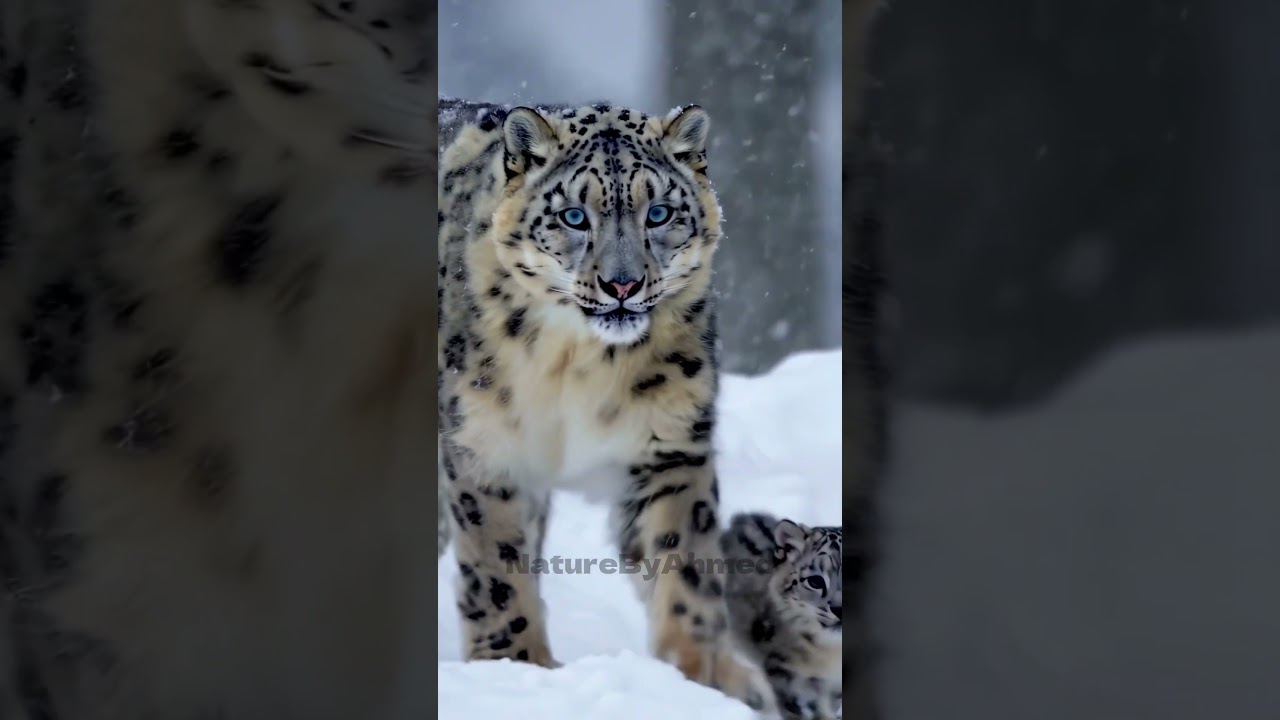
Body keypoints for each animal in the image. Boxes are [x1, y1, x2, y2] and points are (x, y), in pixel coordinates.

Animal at [437, 98, 778, 718]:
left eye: (660, 212)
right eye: (574, 217)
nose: (623, 284)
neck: (577, 363)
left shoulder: (669, 445)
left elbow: (683, 558)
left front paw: (700, 676)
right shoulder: (485, 445)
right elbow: (496, 564)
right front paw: (516, 666)